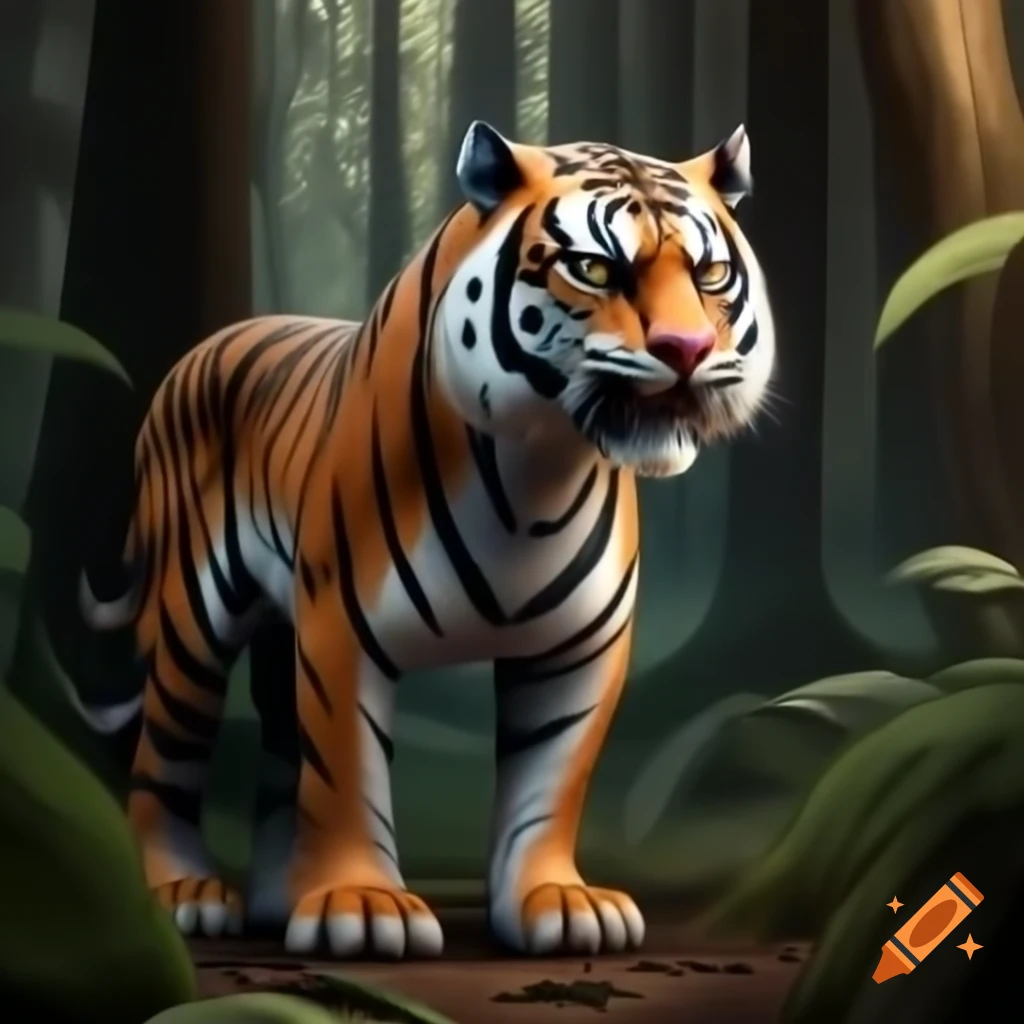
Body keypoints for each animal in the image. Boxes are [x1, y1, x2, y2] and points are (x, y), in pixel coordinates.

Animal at [77, 120, 775, 960]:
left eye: (710, 273)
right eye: (594, 268)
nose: (688, 349)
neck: (536, 476)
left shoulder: (580, 650)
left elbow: (551, 783)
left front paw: (557, 901)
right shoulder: (342, 631)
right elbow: (345, 774)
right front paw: (361, 904)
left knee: (280, 753)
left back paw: (281, 898)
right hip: (193, 623)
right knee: (165, 756)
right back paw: (185, 892)